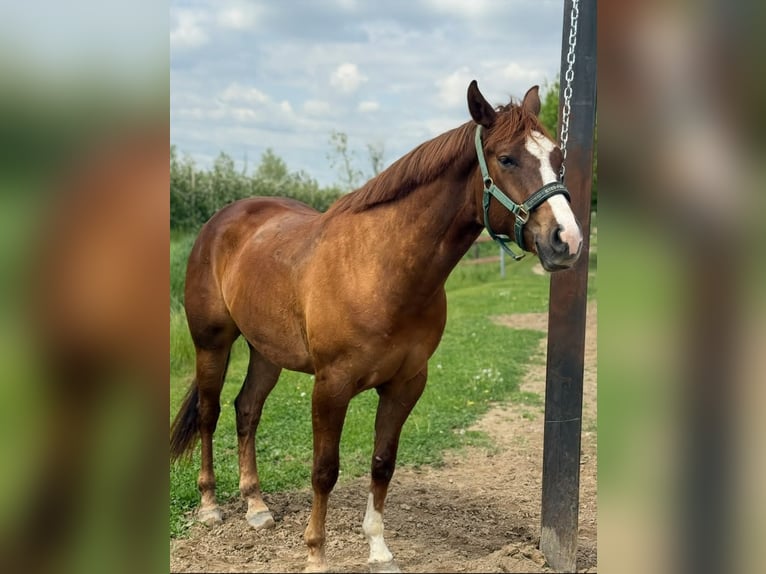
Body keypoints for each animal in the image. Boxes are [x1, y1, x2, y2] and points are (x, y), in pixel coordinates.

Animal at [170, 80, 583, 573]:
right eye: (507, 159)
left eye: (557, 157)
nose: (567, 241)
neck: (382, 269)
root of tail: (221, 220)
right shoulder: (331, 386)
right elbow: (324, 470)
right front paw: (316, 555)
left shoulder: (406, 383)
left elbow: (383, 462)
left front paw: (380, 550)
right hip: (211, 343)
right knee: (209, 413)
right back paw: (210, 505)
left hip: (266, 351)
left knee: (246, 410)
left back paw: (256, 507)